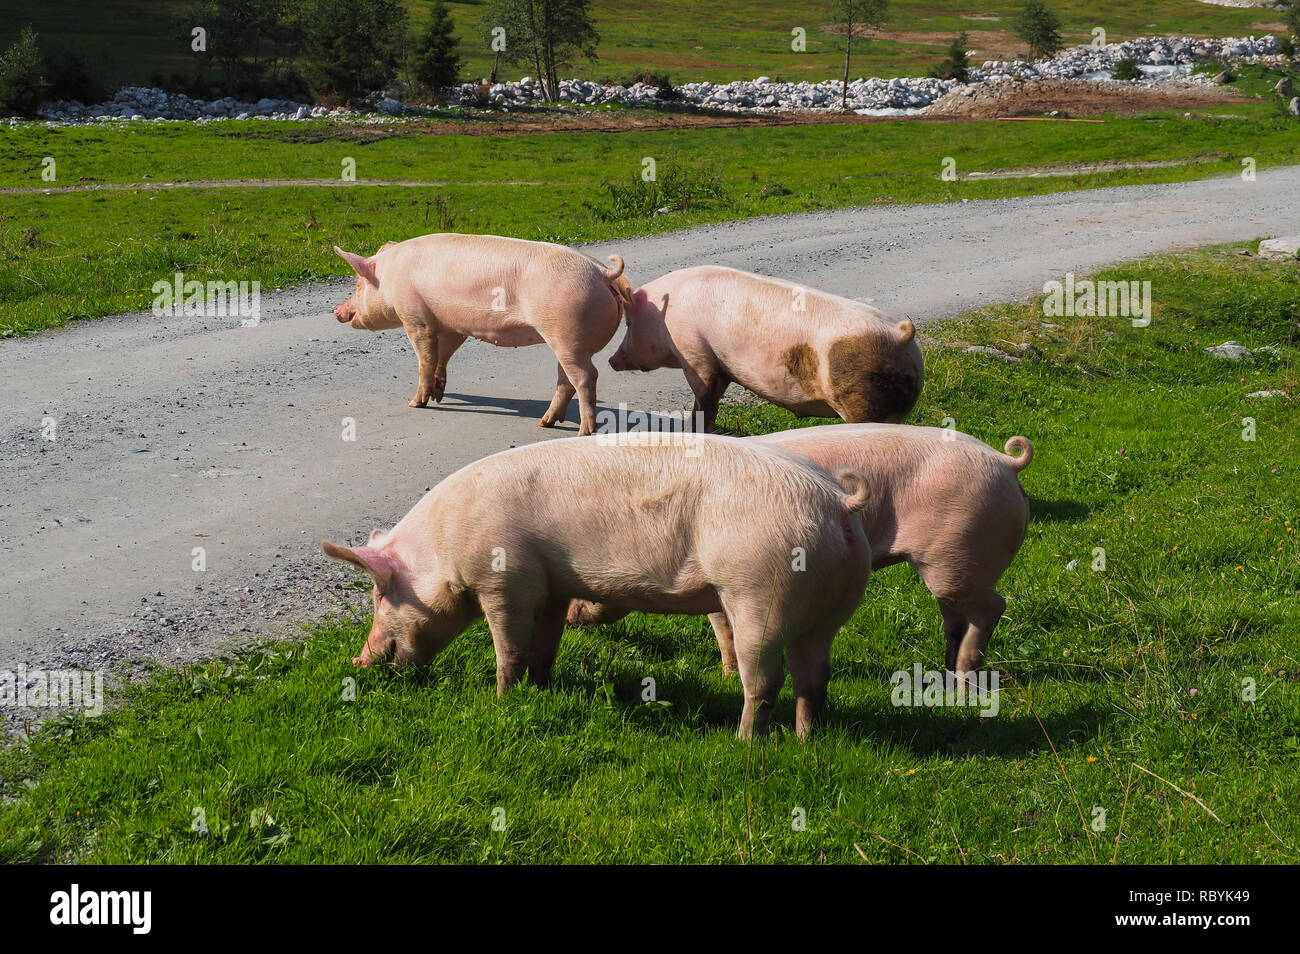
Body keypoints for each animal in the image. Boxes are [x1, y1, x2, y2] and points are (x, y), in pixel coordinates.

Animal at [322, 434, 873, 738]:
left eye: (380, 593)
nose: (359, 660)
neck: (443, 547)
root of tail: (837, 503)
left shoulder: (506, 581)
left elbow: (509, 649)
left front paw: (500, 700)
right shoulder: (553, 587)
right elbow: (544, 646)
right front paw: (541, 689)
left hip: (759, 592)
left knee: (764, 678)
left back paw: (741, 743)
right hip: (829, 610)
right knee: (814, 678)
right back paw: (805, 742)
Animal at [332, 235, 631, 436]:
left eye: (358, 285)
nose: (336, 311)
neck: (390, 278)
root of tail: (604, 273)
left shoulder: (415, 318)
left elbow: (425, 358)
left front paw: (417, 403)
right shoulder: (452, 325)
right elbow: (443, 355)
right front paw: (439, 394)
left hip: (567, 335)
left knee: (586, 377)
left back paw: (584, 431)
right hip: (568, 343)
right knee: (566, 380)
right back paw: (545, 422)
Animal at [569, 426, 1034, 681]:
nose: (570, 616)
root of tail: (1005, 462)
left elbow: (722, 628)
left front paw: (726, 675)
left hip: (957, 552)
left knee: (993, 605)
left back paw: (965, 674)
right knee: (956, 615)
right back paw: (946, 669)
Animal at [608, 269, 925, 434]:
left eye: (629, 323)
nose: (611, 360)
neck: (666, 317)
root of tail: (900, 335)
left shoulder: (695, 353)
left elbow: (704, 399)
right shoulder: (721, 365)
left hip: (860, 399)